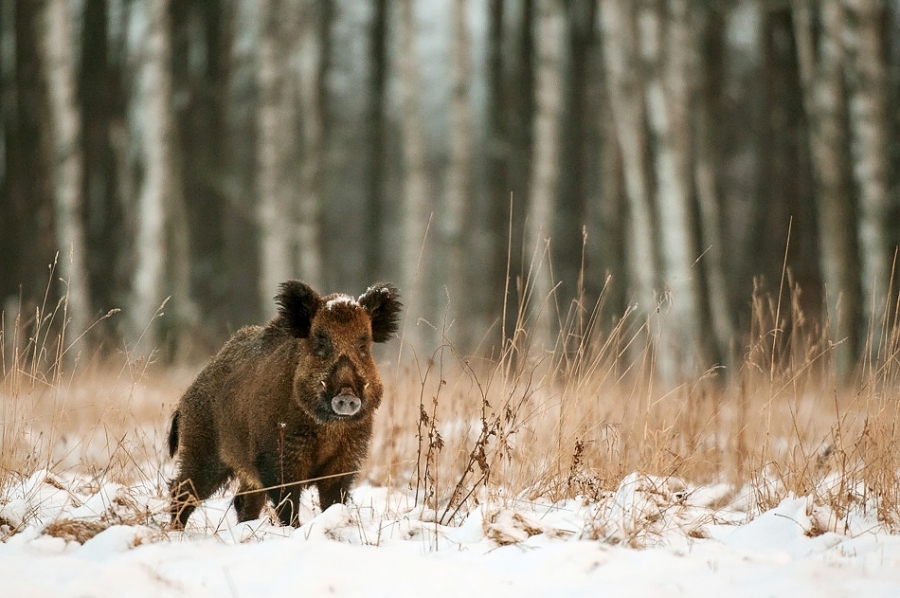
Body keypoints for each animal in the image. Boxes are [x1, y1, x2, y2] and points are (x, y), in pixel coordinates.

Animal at [167, 280, 401, 528]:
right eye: (321, 341)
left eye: (363, 344)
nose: (347, 395)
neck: (327, 429)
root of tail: (185, 400)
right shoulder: (279, 458)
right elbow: (287, 504)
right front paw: (294, 530)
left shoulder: (346, 459)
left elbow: (333, 500)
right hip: (202, 450)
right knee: (182, 491)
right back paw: (176, 531)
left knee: (242, 501)